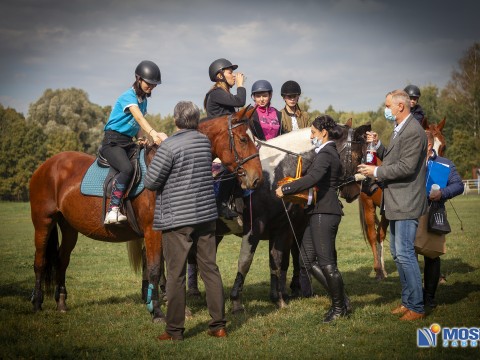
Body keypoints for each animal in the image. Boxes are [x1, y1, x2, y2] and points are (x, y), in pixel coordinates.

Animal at [30, 105, 262, 322]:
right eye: (243, 139)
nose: (257, 178)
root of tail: (46, 165)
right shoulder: (152, 232)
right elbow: (154, 269)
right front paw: (157, 312)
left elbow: (166, 268)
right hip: (43, 222)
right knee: (40, 262)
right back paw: (37, 303)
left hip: (69, 227)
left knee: (62, 260)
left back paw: (61, 302)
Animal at [227, 119, 370, 310]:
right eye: (356, 156)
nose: (354, 192)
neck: (274, 173)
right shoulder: (254, 227)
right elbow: (245, 261)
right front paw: (236, 301)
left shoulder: (282, 228)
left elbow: (278, 260)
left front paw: (279, 298)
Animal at [356, 116, 446, 280]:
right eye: (427, 144)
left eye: (444, 146)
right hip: (369, 206)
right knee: (373, 235)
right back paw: (378, 270)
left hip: (385, 213)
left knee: (380, 234)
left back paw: (383, 270)